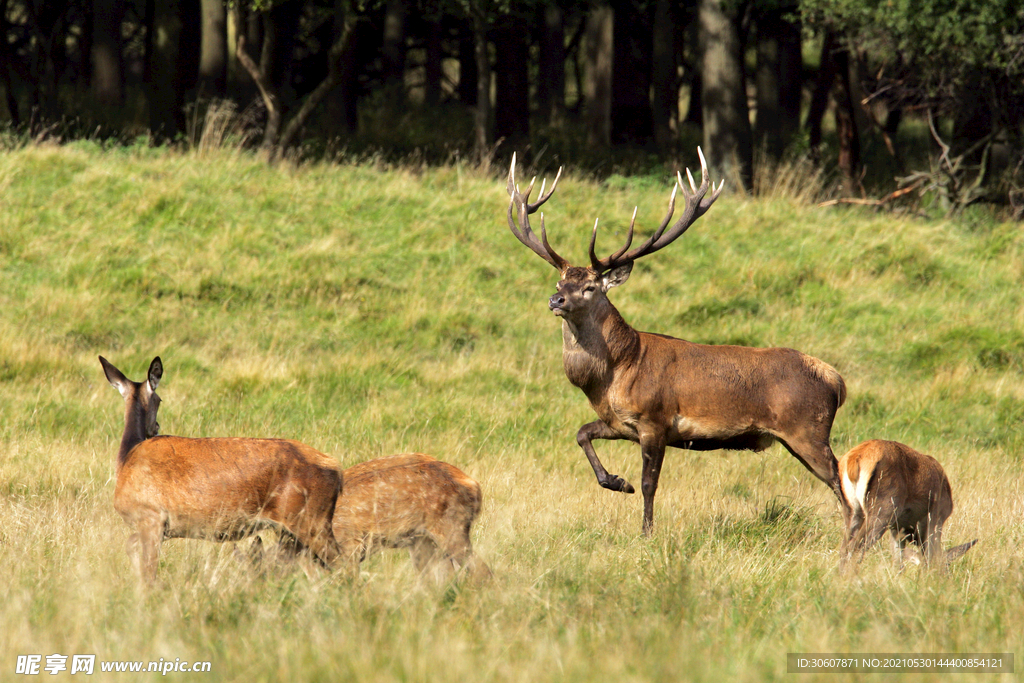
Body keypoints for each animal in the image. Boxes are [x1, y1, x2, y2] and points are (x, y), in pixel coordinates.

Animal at [101, 358, 346, 581]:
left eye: (160, 399)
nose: (156, 427)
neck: (127, 458)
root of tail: (337, 469)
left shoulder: (150, 515)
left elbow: (148, 571)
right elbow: (132, 549)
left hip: (311, 519)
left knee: (343, 562)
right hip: (291, 530)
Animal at [503, 148, 847, 532]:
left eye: (590, 287)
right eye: (560, 282)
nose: (556, 300)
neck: (615, 373)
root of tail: (837, 380)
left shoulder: (655, 420)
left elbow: (649, 484)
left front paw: (646, 531)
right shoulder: (619, 423)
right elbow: (581, 433)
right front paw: (617, 483)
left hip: (808, 429)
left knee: (843, 480)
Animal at [839, 438, 974, 573]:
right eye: (947, 566)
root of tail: (855, 457)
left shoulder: (896, 528)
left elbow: (898, 563)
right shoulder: (935, 519)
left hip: (853, 512)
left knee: (844, 548)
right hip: (881, 514)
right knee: (855, 547)